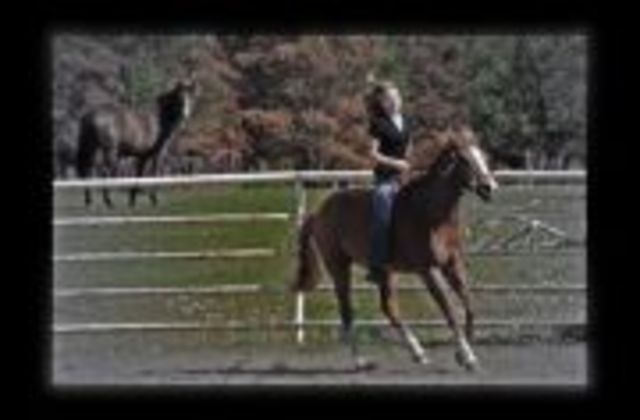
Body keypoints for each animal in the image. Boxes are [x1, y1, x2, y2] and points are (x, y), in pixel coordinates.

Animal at [75, 78, 197, 207]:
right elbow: (155, 173)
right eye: (179, 98)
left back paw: (89, 200)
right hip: (110, 151)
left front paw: (132, 200)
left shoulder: (142, 156)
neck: (159, 119)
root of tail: (90, 115)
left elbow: (139, 175)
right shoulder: (158, 154)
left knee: (88, 170)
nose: (185, 115)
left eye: (190, 97)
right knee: (104, 172)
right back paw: (108, 201)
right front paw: (154, 199)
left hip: (91, 148)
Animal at [291, 126, 499, 371]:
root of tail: (318, 213)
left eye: (483, 156)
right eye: (465, 160)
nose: (489, 188)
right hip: (339, 266)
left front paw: (464, 353)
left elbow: (468, 304)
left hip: (385, 271)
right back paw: (360, 361)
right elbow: (448, 308)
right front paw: (466, 355)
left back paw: (417, 352)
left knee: (389, 308)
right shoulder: (427, 270)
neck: (431, 214)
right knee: (347, 311)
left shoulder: (452, 263)